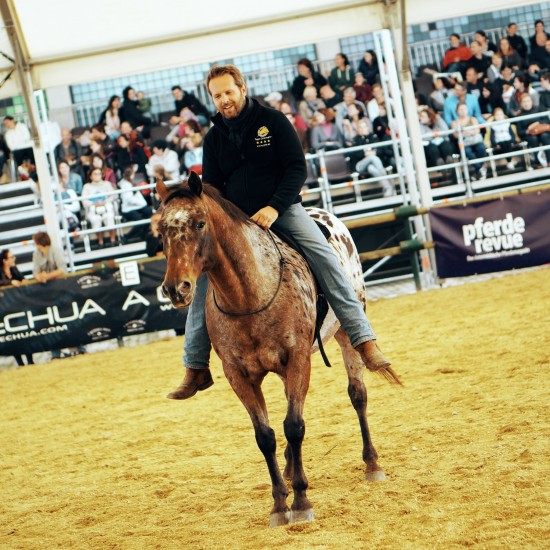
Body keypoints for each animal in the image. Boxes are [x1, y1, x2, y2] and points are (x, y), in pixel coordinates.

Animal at [155, 174, 402, 532]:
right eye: (161, 231)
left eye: (200, 223)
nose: (176, 289)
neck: (249, 293)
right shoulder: (239, 376)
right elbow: (266, 436)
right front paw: (279, 504)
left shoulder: (298, 359)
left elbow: (294, 426)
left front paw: (300, 502)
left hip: (346, 329)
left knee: (357, 394)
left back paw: (372, 464)